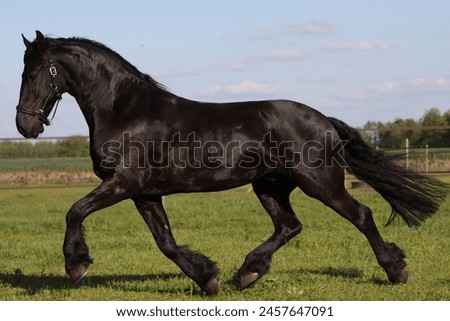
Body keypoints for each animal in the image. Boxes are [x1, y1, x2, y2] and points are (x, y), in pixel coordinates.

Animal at [15, 31, 448, 294]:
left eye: (34, 73)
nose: (25, 126)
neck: (126, 110)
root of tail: (324, 120)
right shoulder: (145, 193)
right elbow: (166, 242)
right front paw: (208, 278)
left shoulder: (124, 183)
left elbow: (75, 210)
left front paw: (76, 265)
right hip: (269, 185)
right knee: (289, 226)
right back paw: (248, 272)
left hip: (320, 182)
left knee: (361, 215)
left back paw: (396, 270)